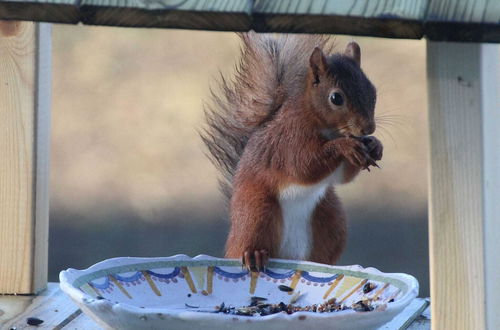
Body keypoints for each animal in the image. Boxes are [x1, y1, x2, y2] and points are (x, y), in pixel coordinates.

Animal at [202, 32, 382, 270]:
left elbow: (343, 176)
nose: (368, 128)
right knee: (249, 238)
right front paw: (345, 146)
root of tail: (289, 257)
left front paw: (375, 145)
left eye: (373, 92)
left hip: (331, 219)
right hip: (257, 210)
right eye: (336, 98)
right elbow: (303, 166)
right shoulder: (288, 142)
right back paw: (254, 254)